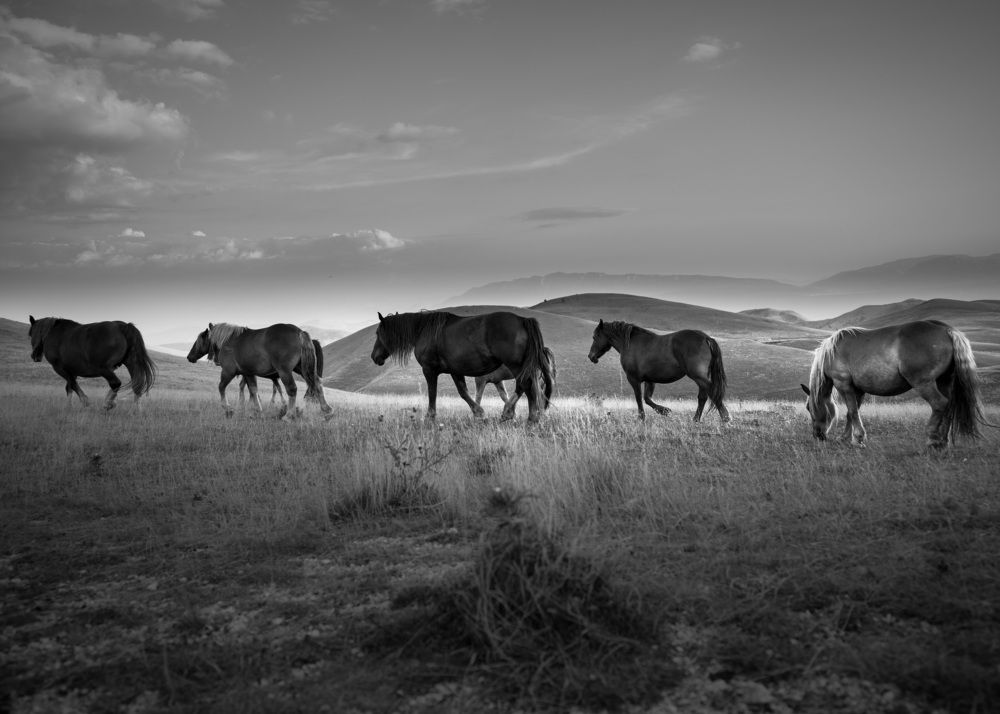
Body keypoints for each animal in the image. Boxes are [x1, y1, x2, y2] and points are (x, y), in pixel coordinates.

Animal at [28, 316, 156, 410]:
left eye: (30, 334)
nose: (34, 356)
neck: (53, 333)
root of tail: (124, 327)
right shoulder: (72, 371)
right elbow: (69, 387)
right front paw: (69, 407)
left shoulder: (59, 368)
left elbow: (73, 385)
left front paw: (85, 402)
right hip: (131, 364)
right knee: (136, 386)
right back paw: (135, 410)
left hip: (104, 368)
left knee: (116, 383)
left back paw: (108, 403)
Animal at [187, 323, 331, 420]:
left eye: (199, 339)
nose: (189, 357)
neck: (228, 342)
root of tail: (299, 332)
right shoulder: (248, 373)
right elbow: (253, 390)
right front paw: (257, 410)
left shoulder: (228, 372)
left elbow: (221, 387)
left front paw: (228, 408)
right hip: (303, 369)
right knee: (317, 384)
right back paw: (327, 410)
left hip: (285, 371)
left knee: (292, 389)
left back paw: (289, 415)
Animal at [370, 310, 554, 423]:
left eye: (378, 333)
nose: (374, 357)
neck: (423, 331)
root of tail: (523, 320)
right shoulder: (455, 371)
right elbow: (463, 393)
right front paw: (479, 413)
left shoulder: (429, 370)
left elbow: (432, 393)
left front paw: (430, 417)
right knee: (529, 388)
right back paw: (526, 416)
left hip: (516, 366)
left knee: (525, 386)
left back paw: (522, 416)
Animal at [588, 320, 729, 422]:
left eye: (595, 337)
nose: (591, 356)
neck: (630, 344)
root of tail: (706, 338)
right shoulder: (649, 380)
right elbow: (647, 399)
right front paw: (664, 411)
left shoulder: (634, 379)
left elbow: (639, 398)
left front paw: (641, 418)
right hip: (700, 377)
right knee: (703, 396)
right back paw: (696, 419)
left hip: (698, 376)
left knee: (712, 392)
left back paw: (725, 418)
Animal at [801, 320, 988, 448]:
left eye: (809, 408)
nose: (817, 436)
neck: (832, 352)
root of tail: (946, 330)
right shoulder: (858, 390)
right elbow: (851, 414)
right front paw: (849, 438)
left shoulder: (844, 385)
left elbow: (853, 412)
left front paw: (857, 438)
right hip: (944, 381)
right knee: (948, 406)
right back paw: (943, 441)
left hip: (924, 383)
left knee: (940, 404)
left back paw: (932, 440)